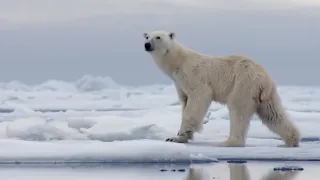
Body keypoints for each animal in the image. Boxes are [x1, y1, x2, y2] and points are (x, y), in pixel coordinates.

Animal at [144, 30, 302, 147]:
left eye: (158, 37)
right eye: (147, 36)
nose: (147, 44)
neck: (178, 62)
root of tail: (264, 76)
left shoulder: (193, 76)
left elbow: (197, 99)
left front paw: (178, 136)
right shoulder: (179, 84)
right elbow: (185, 101)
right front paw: (180, 137)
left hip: (243, 83)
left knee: (238, 109)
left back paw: (230, 141)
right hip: (265, 94)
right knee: (273, 113)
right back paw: (291, 140)